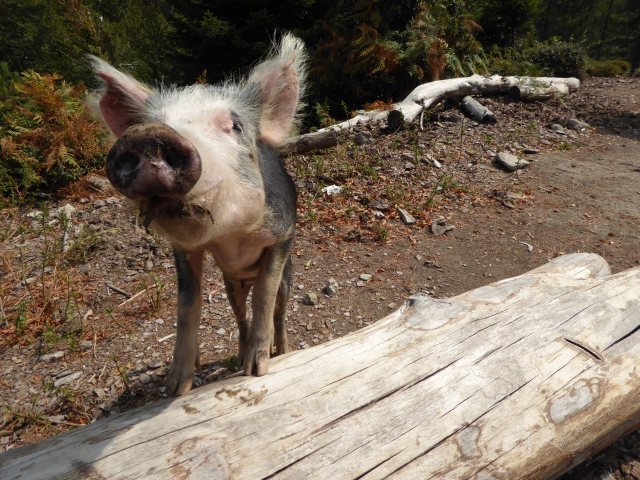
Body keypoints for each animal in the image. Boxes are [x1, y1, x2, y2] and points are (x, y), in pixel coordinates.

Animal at [90, 33, 308, 394]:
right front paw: (175, 388)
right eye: (154, 123)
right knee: (239, 313)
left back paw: (282, 351)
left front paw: (257, 371)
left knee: (278, 307)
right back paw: (237, 357)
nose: (150, 137)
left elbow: (265, 297)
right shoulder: (186, 250)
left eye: (234, 125)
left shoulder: (282, 235)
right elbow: (187, 306)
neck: (232, 237)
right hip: (231, 283)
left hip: (288, 276)